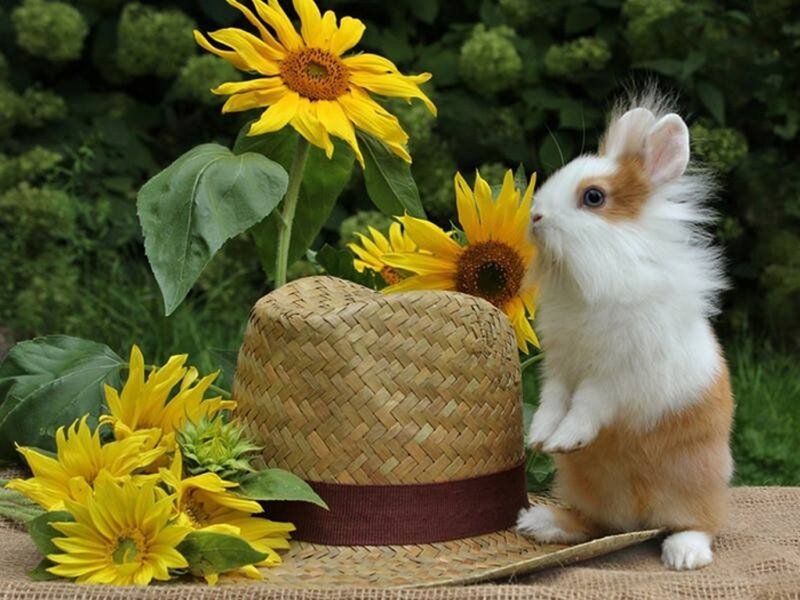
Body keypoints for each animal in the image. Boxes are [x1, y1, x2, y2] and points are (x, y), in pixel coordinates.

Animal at [516, 91, 734, 571]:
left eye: (593, 196)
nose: (536, 217)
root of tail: (638, 515)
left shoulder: (618, 376)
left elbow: (587, 406)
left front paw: (566, 439)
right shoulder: (560, 367)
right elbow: (553, 401)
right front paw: (540, 437)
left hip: (697, 478)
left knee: (698, 522)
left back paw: (684, 555)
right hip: (584, 487)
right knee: (595, 524)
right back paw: (542, 523)